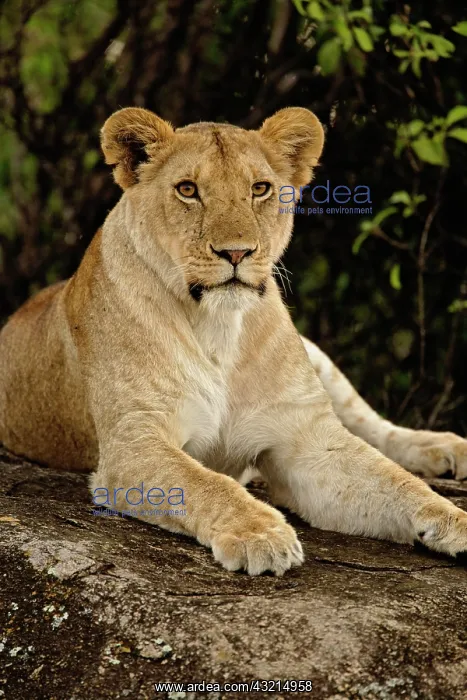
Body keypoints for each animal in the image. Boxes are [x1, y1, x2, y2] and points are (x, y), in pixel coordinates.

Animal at [1, 106, 467, 575]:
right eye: (188, 190)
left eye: (259, 189)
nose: (237, 252)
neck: (219, 327)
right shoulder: (132, 443)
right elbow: (204, 482)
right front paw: (259, 534)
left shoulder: (307, 440)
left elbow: (395, 481)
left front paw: (455, 520)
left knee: (372, 427)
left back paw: (444, 448)